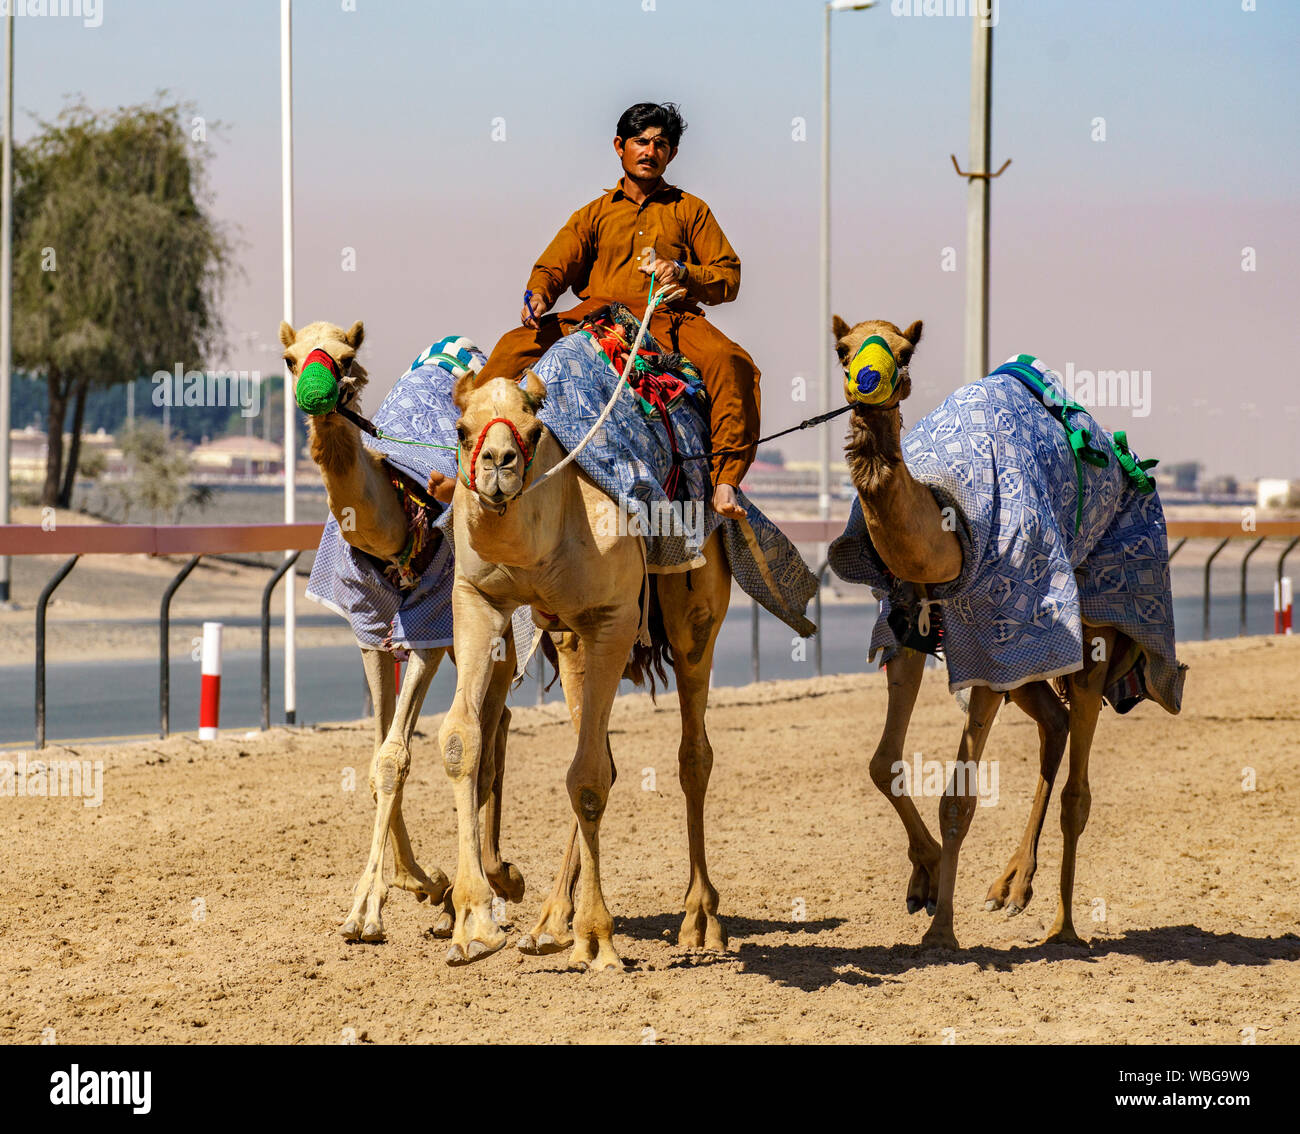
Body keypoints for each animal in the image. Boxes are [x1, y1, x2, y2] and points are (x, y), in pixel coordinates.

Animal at [276, 321, 520, 946]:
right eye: (290, 358)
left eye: (347, 356)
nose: (314, 391)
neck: (395, 526)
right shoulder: (368, 628)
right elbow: (379, 758)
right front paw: (418, 883)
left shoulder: (429, 629)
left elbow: (395, 757)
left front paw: (365, 911)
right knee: (499, 719)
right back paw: (464, 894)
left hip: (492, 623)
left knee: (494, 726)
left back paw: (498, 882)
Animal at [436, 369, 733, 967]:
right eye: (460, 429)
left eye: (533, 429)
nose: (498, 463)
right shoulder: (478, 597)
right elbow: (462, 740)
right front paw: (474, 924)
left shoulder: (613, 618)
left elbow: (590, 779)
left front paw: (596, 939)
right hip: (570, 640)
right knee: (602, 754)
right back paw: (549, 924)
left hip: (694, 614)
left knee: (692, 755)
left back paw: (700, 920)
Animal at [837, 314, 1133, 951]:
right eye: (842, 349)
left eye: (904, 351)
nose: (867, 380)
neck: (947, 526)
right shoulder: (910, 634)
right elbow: (882, 762)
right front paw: (923, 881)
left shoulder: (996, 641)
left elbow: (960, 798)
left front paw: (941, 933)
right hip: (1030, 664)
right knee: (1055, 722)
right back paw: (1012, 887)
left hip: (1089, 637)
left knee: (1078, 785)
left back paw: (1062, 927)